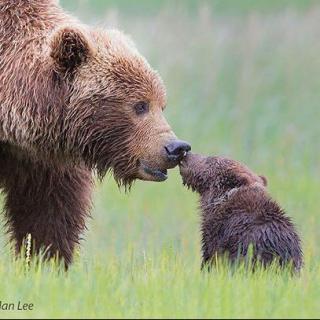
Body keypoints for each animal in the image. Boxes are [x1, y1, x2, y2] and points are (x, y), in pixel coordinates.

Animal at [0, 0, 190, 264]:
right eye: (140, 105)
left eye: (161, 104)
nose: (176, 148)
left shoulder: (40, 159)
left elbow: (47, 211)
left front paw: (44, 259)